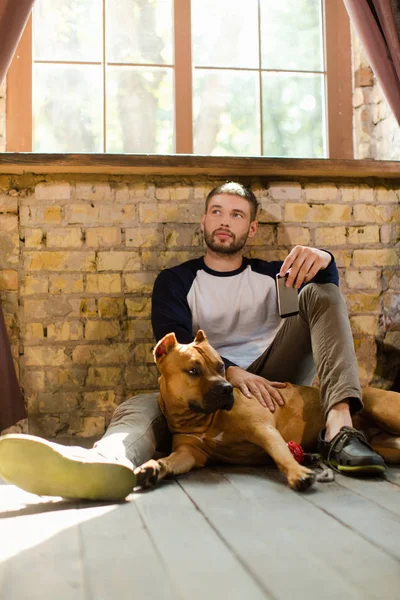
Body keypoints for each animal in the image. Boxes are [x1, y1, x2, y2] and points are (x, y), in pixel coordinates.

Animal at [134, 330, 400, 490]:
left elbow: (281, 453)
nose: (227, 389)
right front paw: (154, 467)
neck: (204, 419)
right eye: (193, 371)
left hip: (383, 409)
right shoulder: (190, 452)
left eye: (220, 366)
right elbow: (171, 459)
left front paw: (297, 472)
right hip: (388, 447)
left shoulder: (263, 429)